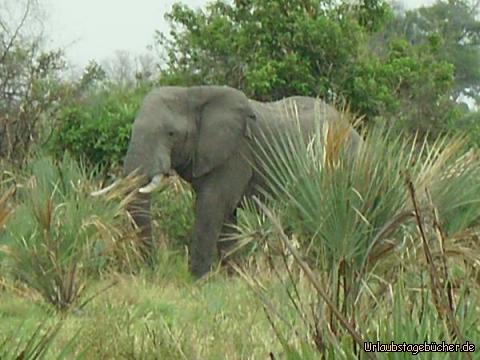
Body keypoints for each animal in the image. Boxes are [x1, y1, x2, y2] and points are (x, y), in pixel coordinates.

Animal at [92, 86, 362, 278]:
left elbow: (211, 206)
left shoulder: (236, 153)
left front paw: (197, 280)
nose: (152, 268)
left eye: (171, 134)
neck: (192, 92)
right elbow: (226, 214)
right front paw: (235, 276)